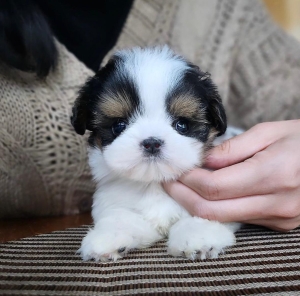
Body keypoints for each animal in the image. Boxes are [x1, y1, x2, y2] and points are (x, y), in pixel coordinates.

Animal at [71, 46, 240, 262]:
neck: (154, 182)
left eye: (182, 125)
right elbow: (122, 217)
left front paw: (197, 234)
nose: (152, 142)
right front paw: (107, 236)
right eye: (119, 125)